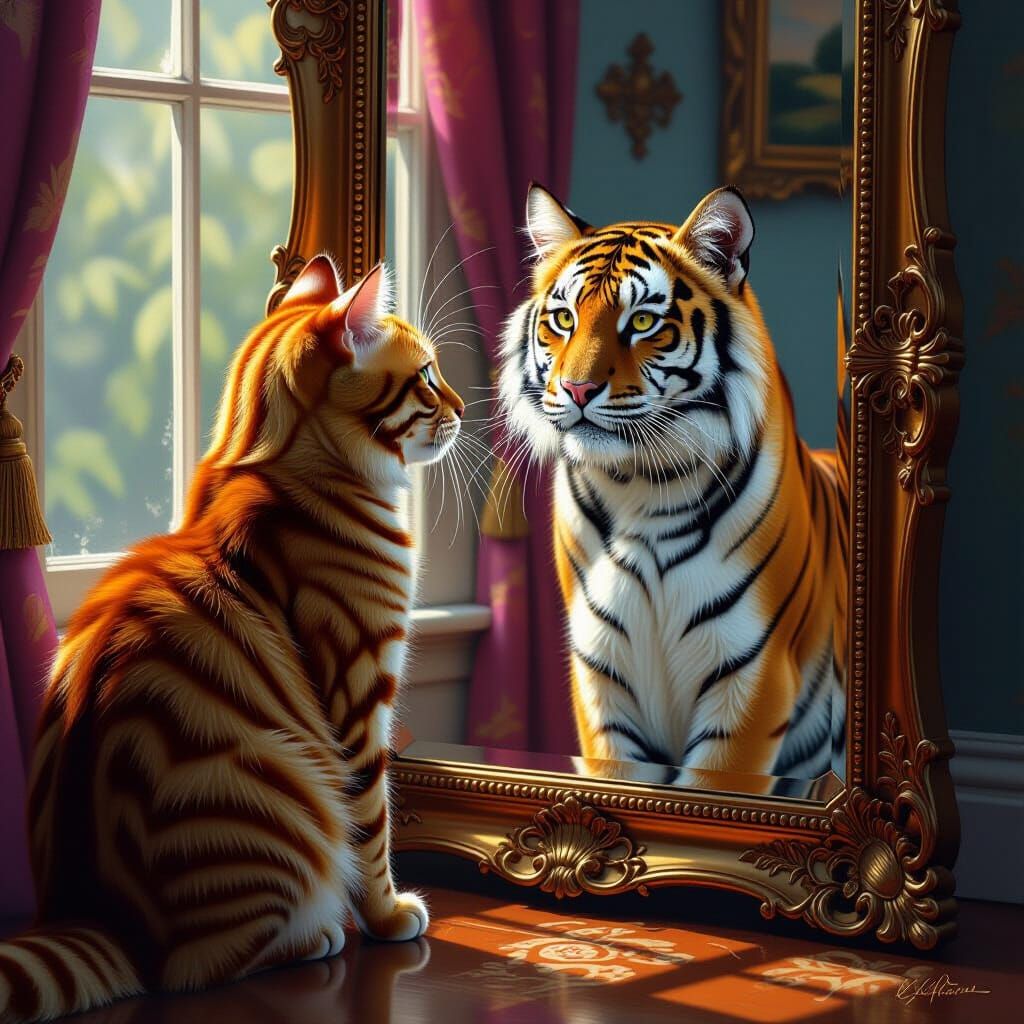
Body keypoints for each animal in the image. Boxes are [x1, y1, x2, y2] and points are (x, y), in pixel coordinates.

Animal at [0, 255, 464, 1024]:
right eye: (426, 375)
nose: (460, 405)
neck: (269, 465)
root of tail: (103, 920)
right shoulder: (361, 690)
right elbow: (373, 824)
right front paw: (388, 915)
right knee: (193, 968)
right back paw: (320, 934)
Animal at [498, 183, 847, 789]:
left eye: (641, 322)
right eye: (562, 318)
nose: (577, 388)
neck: (641, 487)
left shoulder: (753, 676)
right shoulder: (600, 676)